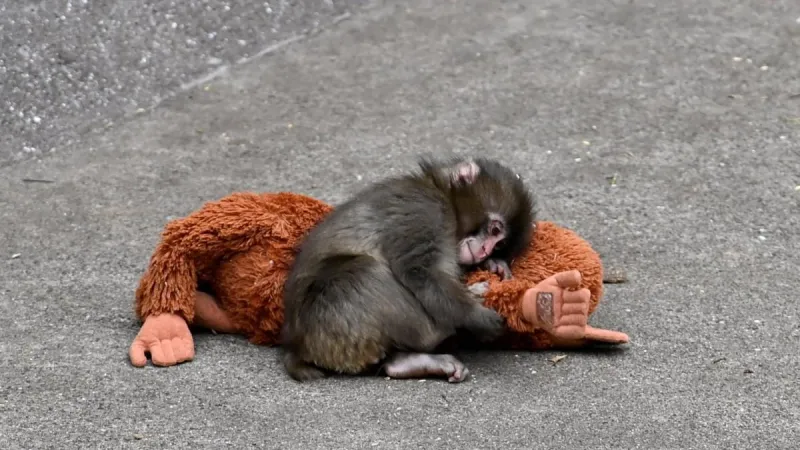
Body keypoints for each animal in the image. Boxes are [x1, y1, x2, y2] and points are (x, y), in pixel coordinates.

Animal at [280, 156, 536, 383]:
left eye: (499, 245)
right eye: (494, 230)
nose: (484, 251)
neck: (441, 193)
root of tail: (297, 346)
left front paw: (494, 265)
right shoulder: (425, 210)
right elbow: (420, 272)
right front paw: (476, 316)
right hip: (329, 320)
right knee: (364, 271)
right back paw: (442, 329)